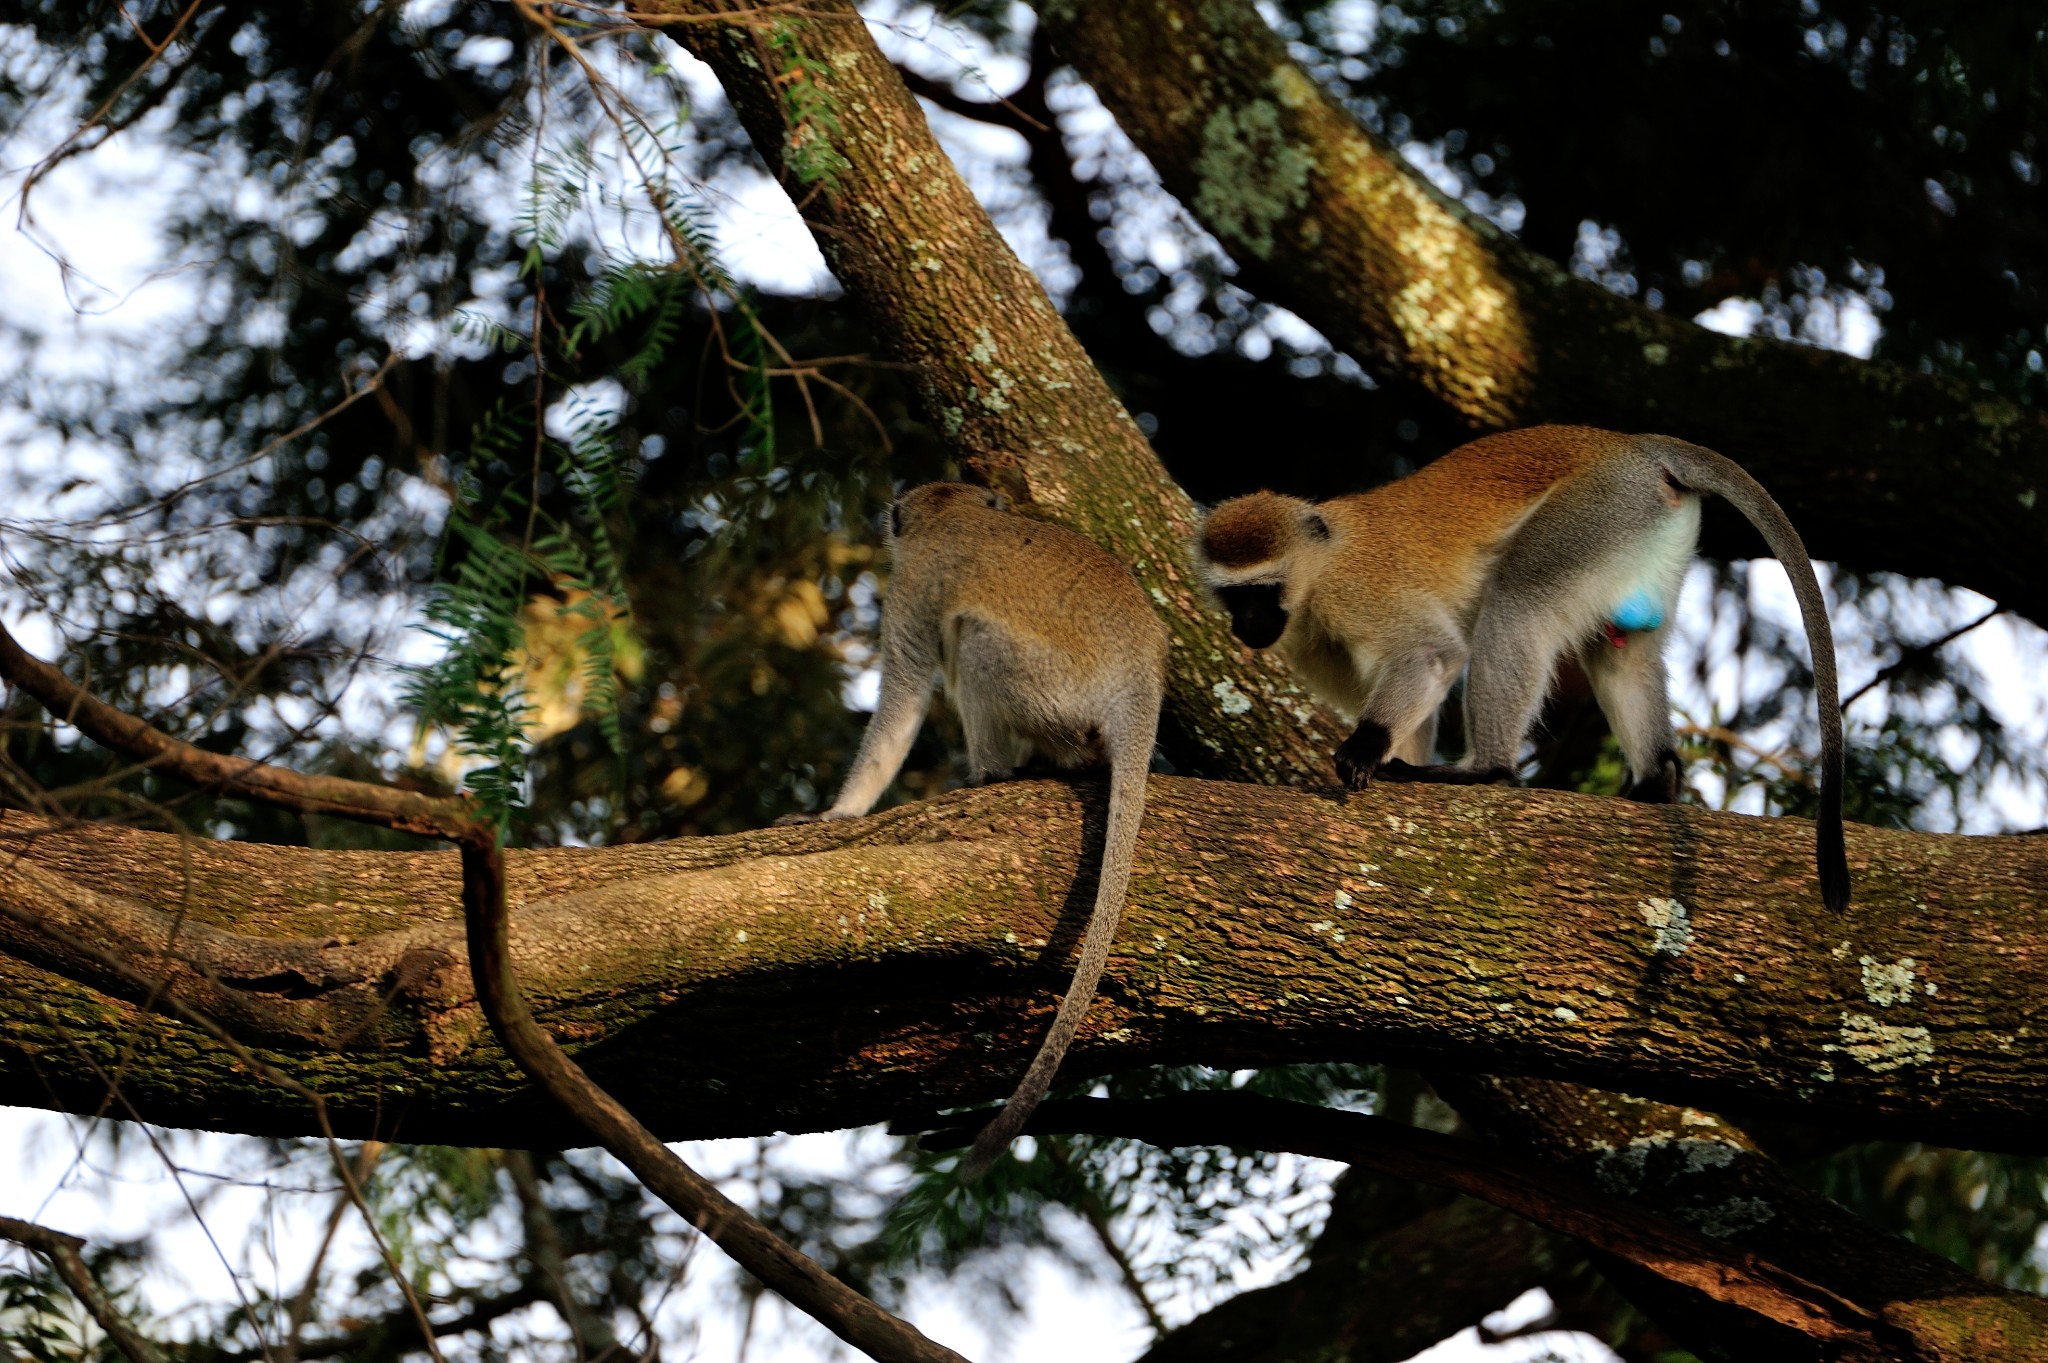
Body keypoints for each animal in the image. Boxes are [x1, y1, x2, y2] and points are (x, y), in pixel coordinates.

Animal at [782, 482, 1171, 1170]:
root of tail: (1138, 682)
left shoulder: (912, 583)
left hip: (1049, 691)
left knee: (976, 642)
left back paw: (994, 772)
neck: (956, 513)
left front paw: (838, 811)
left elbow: (904, 697)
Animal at [1196, 421, 1851, 912]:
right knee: (1622, 653)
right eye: (1234, 597)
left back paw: (1485, 770)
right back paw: (1657, 779)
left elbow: (1432, 654)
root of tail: (1630, 444)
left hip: (1597, 511)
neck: (1314, 581)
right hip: (1642, 526)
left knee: (1519, 599)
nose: (1246, 626)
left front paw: (1365, 750)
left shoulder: (1356, 592)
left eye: (1263, 592)